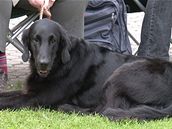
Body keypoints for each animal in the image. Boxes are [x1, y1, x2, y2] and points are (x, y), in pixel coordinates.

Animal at [0, 18, 172, 120]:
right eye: (35, 39)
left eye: (53, 41)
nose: (43, 63)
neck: (60, 65)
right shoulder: (29, 91)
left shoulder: (37, 98)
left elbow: (8, 101)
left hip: (122, 74)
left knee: (103, 110)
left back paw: (68, 107)